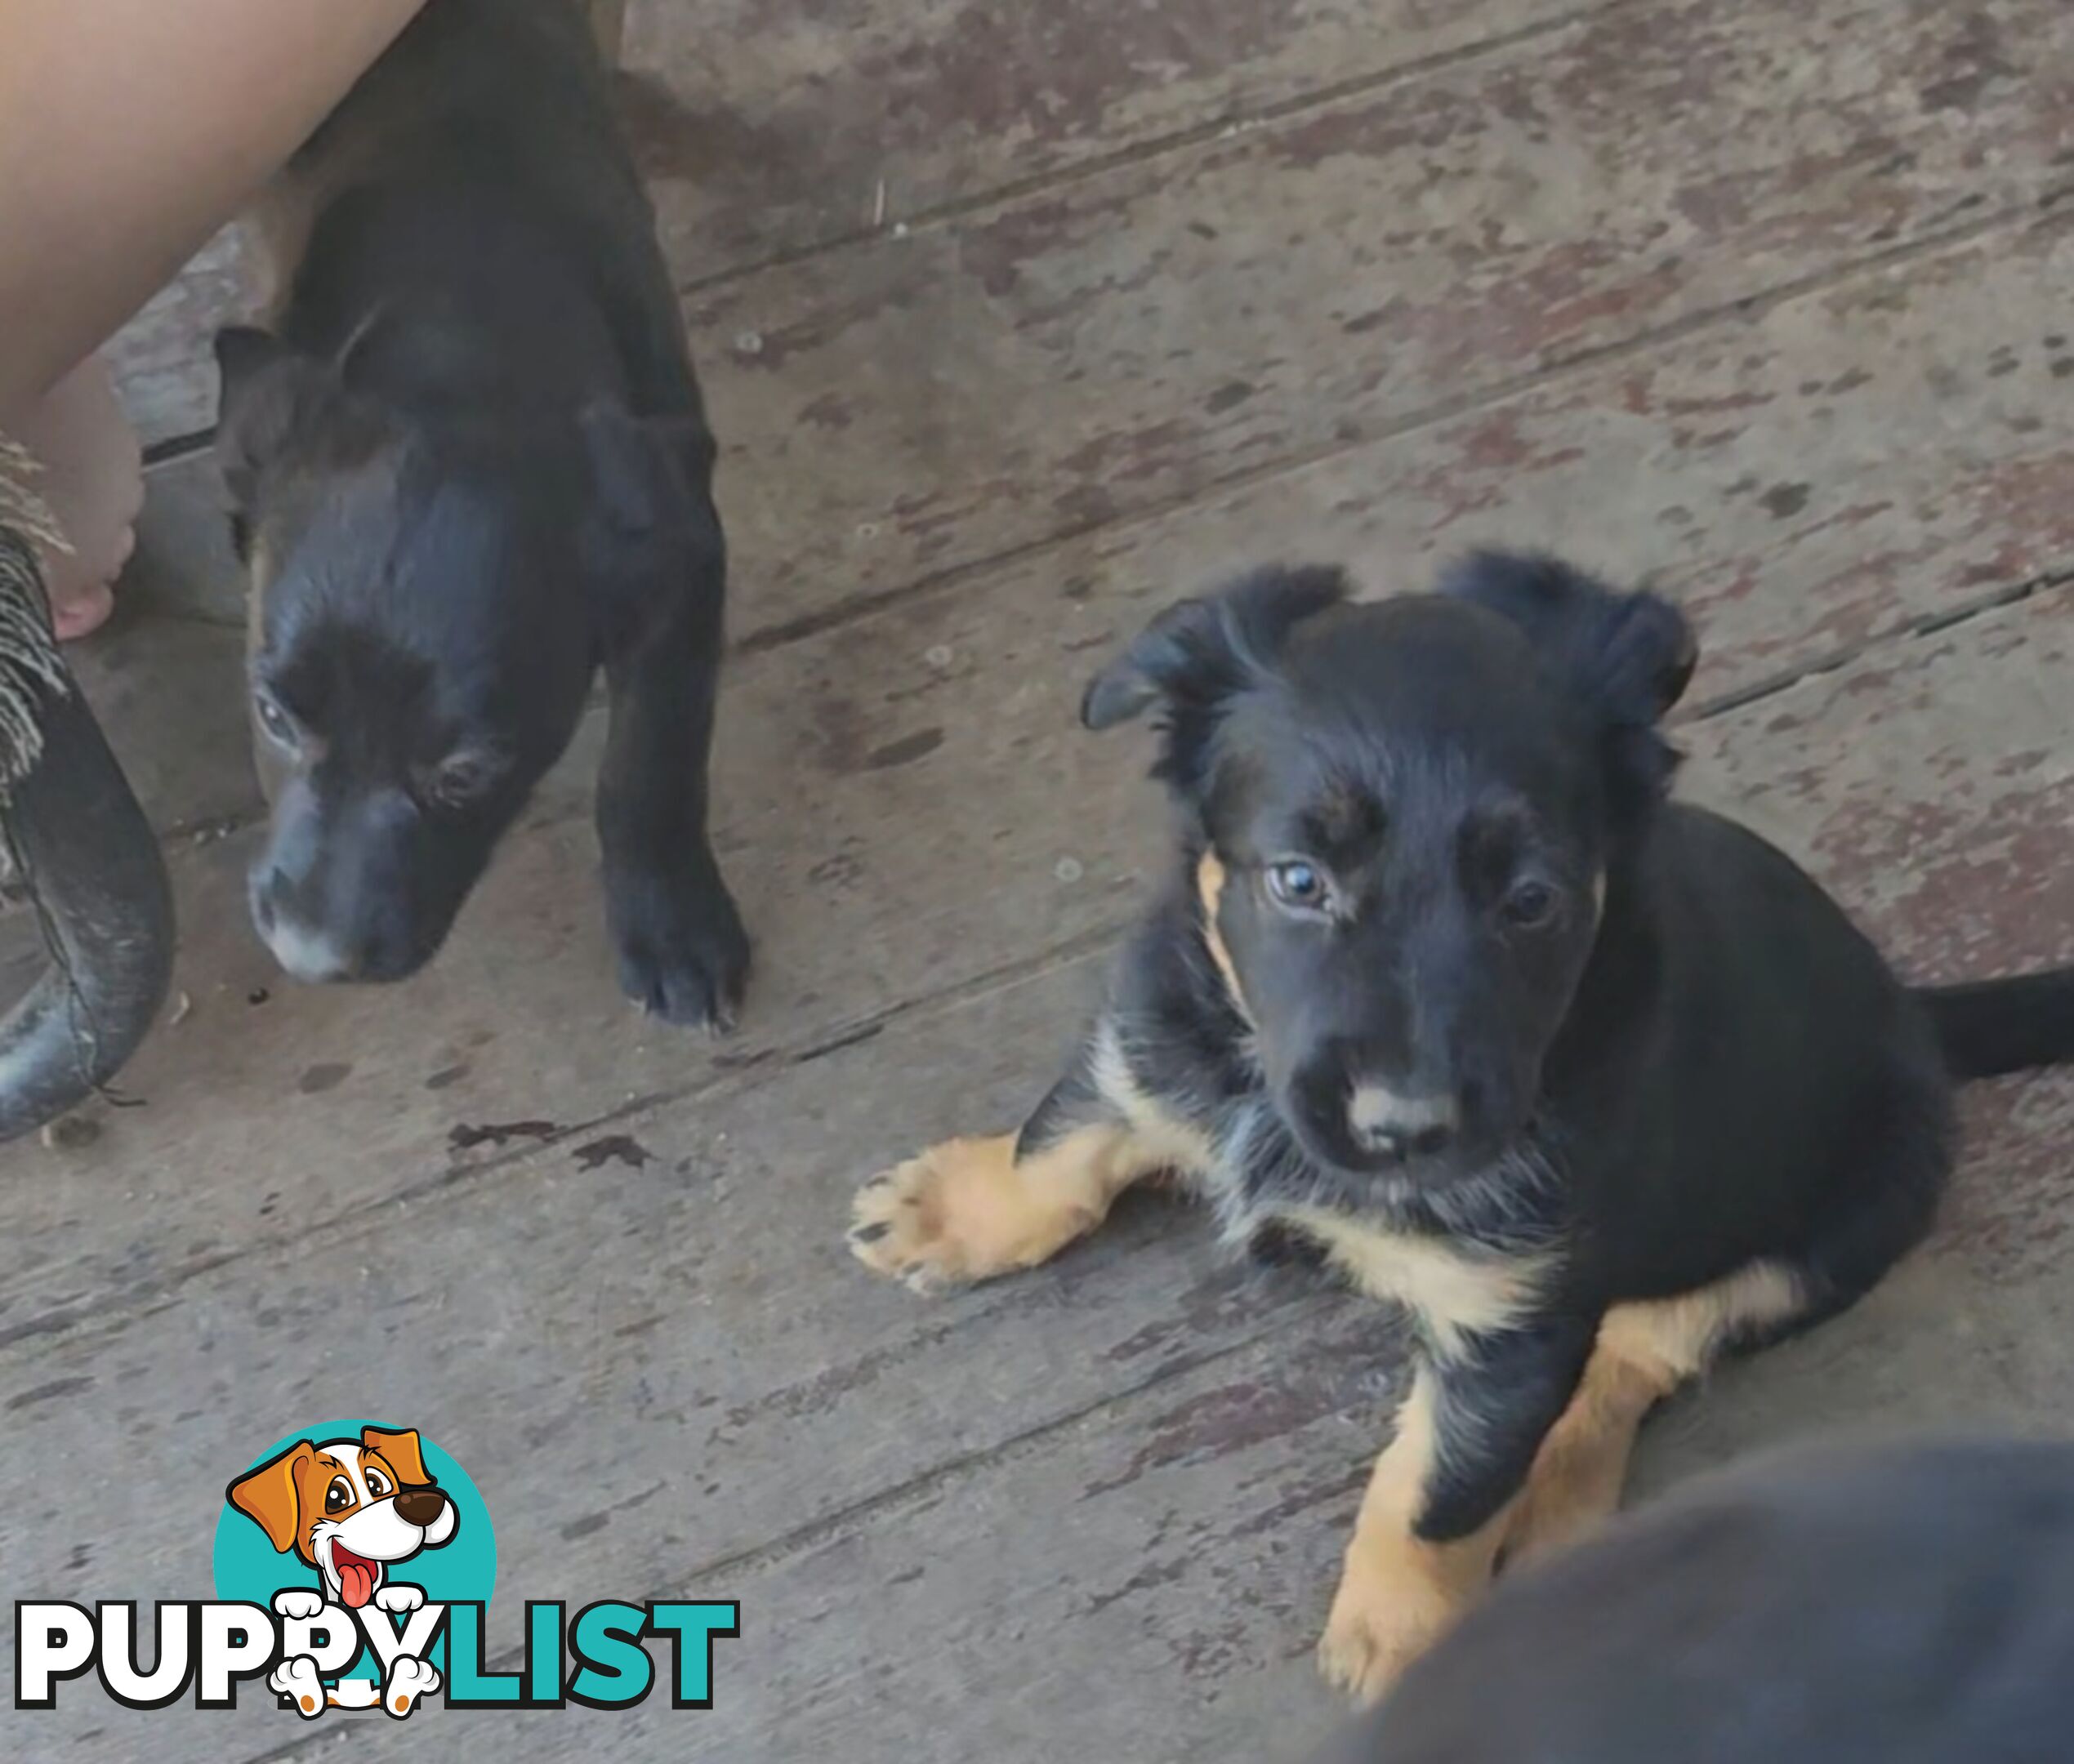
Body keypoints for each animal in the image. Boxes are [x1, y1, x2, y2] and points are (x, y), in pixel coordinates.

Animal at [216, 0, 747, 1027]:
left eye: (463, 774)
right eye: (271, 714)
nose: (311, 957)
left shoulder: (681, 547)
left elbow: (654, 758)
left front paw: (672, 924)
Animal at [841, 559, 2074, 1708]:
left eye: (1530, 902)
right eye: (1298, 880)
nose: (1405, 1127)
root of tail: (1911, 1016)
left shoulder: (1511, 1323)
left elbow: (1438, 1488)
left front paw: (1403, 1629)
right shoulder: (1155, 1036)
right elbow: (1062, 1138)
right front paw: (961, 1208)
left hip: (1832, 1228)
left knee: (1639, 1354)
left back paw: (1557, 1500)